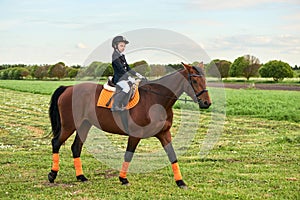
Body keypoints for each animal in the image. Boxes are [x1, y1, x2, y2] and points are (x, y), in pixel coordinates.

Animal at [47, 61, 211, 188]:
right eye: (194, 81)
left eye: (205, 80)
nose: (206, 103)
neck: (155, 100)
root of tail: (68, 88)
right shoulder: (135, 135)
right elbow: (128, 155)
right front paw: (123, 178)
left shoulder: (164, 134)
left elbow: (172, 156)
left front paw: (180, 182)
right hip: (69, 126)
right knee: (56, 142)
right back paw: (52, 175)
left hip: (84, 125)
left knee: (76, 147)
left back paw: (81, 176)